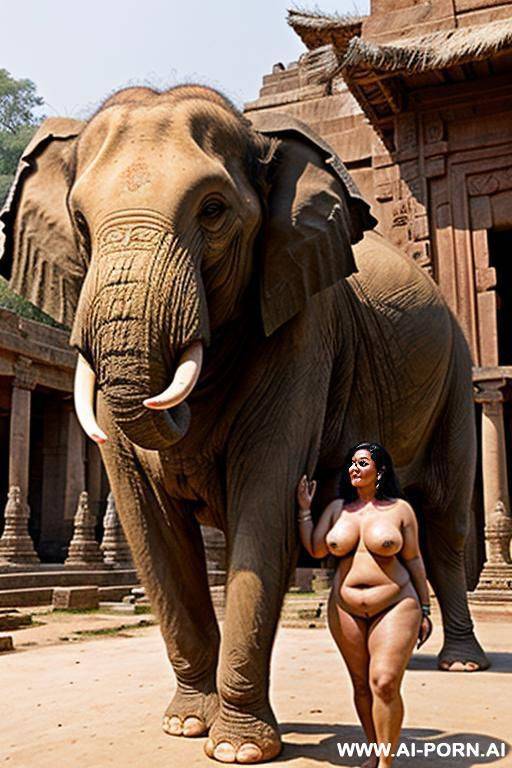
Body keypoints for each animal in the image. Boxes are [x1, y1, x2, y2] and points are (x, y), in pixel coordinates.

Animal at [0, 85, 489, 763]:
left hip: (455, 375)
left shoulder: (304, 329)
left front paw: (238, 749)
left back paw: (460, 663)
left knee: (442, 521)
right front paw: (186, 724)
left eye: (213, 211)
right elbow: (149, 521)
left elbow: (266, 492)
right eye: (80, 223)